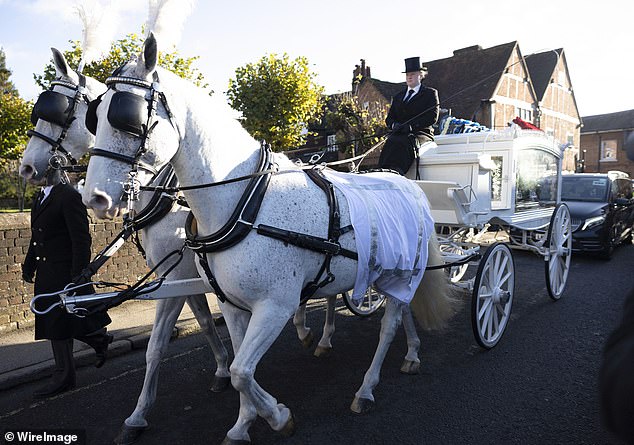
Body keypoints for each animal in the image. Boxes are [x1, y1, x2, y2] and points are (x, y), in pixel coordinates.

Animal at [19, 48, 232, 444]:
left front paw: (138, 415)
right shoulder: (181, 274)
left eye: (61, 112)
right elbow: (206, 322)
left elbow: (159, 344)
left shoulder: (178, 275)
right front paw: (224, 369)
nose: (26, 168)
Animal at [81, 35, 454, 444]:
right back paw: (411, 354)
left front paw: (277, 416)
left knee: (388, 325)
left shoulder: (275, 305)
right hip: (393, 272)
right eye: (94, 117)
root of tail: (409, 185)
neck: (245, 202)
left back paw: (366, 388)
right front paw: (243, 424)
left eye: (127, 118)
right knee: (402, 311)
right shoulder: (230, 304)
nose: (94, 198)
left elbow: (242, 371)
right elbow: (240, 367)